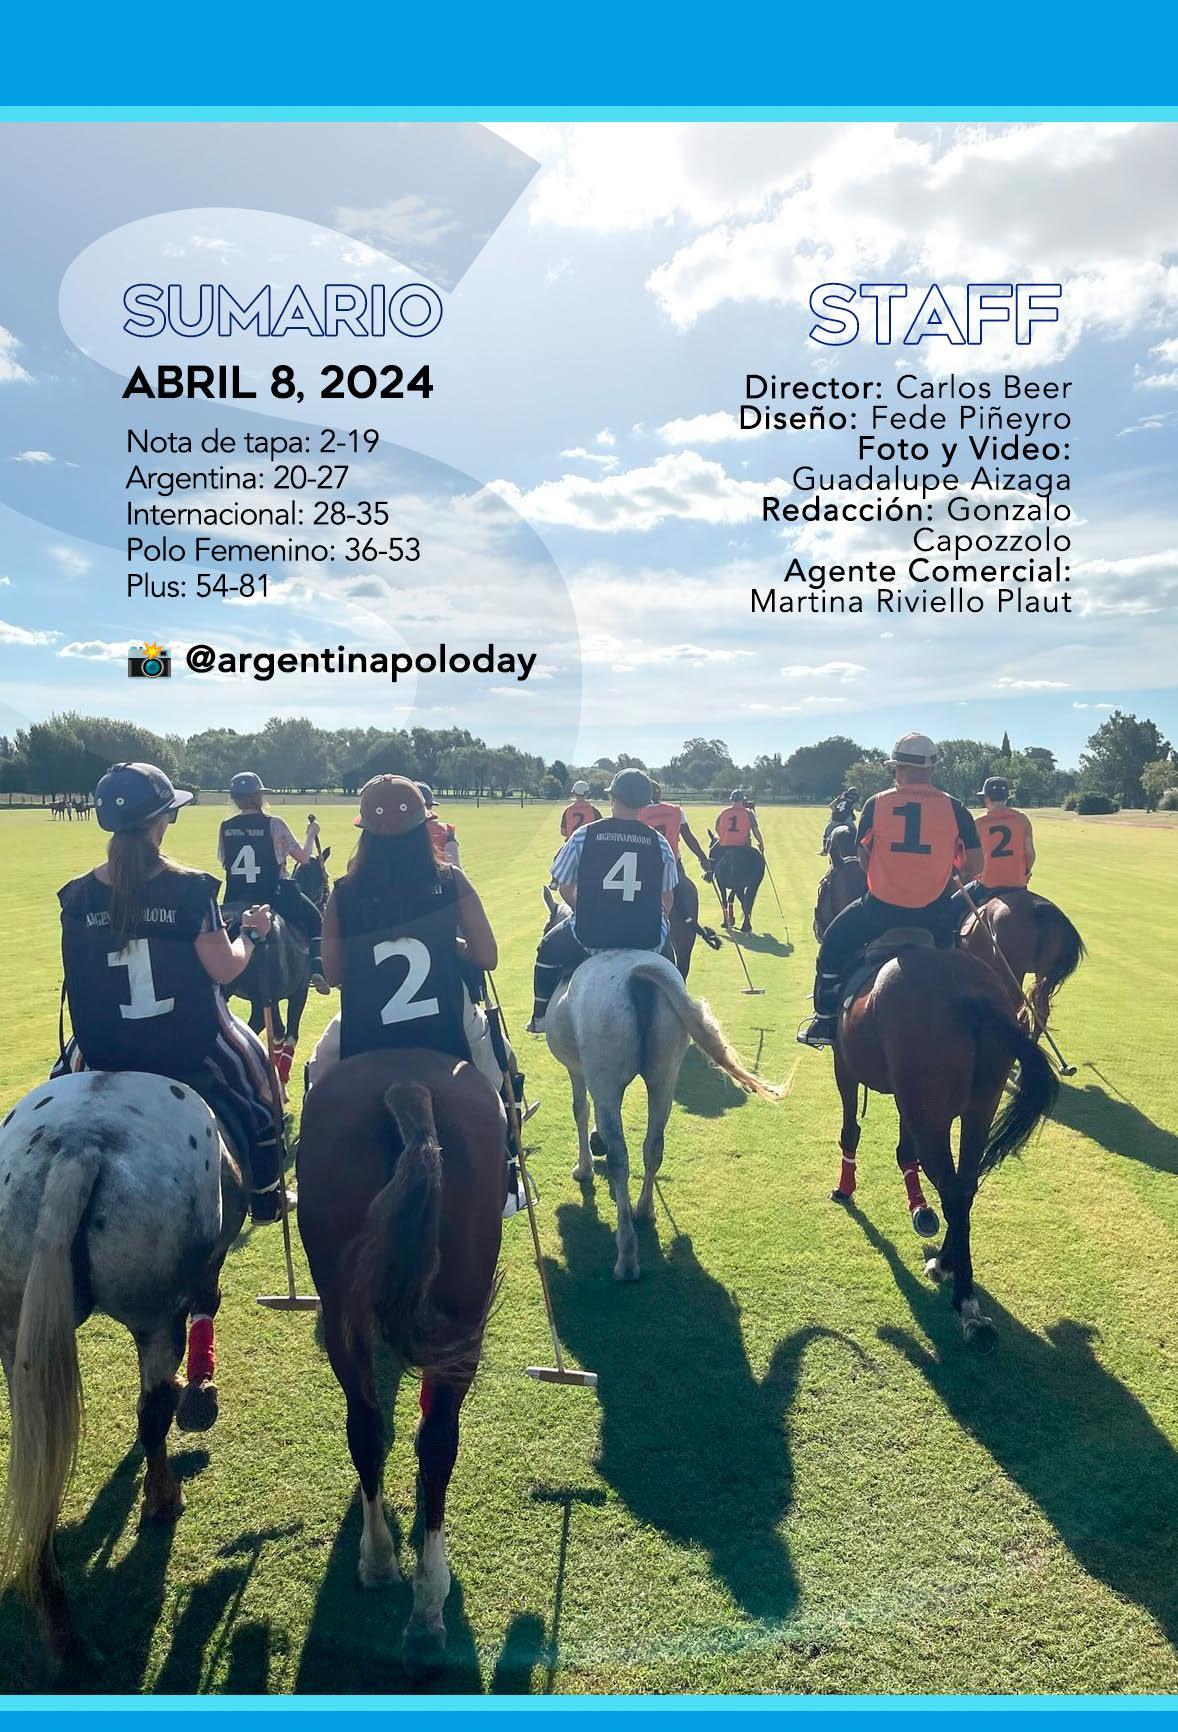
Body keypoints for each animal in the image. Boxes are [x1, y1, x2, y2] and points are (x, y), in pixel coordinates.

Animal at [0, 1070, 248, 1660]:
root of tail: (76, 1144)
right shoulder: (202, 1273)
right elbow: (207, 1301)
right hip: (154, 1313)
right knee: (151, 1411)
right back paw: (162, 1498)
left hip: (14, 1325)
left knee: (37, 1446)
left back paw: (54, 1610)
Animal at [227, 849, 331, 1080]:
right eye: (326, 877)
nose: (326, 901)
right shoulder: (299, 991)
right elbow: (289, 1032)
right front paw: (282, 1074)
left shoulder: (259, 999)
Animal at [297, 1050, 504, 1676]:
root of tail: (407, 1089)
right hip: (459, 1311)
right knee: (434, 1441)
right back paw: (420, 1597)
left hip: (345, 1305)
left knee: (368, 1427)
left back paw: (391, 1575)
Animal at [540, 894, 780, 1280]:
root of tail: (635, 974)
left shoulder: (578, 1070)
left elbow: (579, 1110)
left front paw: (585, 1166)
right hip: (664, 1076)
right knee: (654, 1146)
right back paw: (643, 1210)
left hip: (608, 1080)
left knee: (621, 1156)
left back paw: (626, 1255)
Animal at [829, 937, 1057, 1344]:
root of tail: (969, 994)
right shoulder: (907, 1099)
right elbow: (905, 1150)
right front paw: (919, 1210)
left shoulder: (845, 1065)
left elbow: (851, 1129)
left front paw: (845, 1187)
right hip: (977, 1108)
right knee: (965, 1187)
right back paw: (948, 1265)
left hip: (929, 1111)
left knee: (951, 1189)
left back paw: (966, 1302)